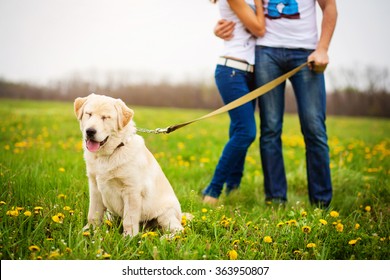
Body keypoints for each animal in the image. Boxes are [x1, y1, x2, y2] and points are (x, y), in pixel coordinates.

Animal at [74, 93, 184, 236]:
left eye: (105, 117)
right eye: (89, 114)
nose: (90, 131)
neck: (110, 153)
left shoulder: (131, 191)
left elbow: (129, 220)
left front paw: (128, 238)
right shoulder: (95, 187)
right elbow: (93, 214)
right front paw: (88, 232)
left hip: (166, 214)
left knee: (179, 230)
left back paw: (166, 238)